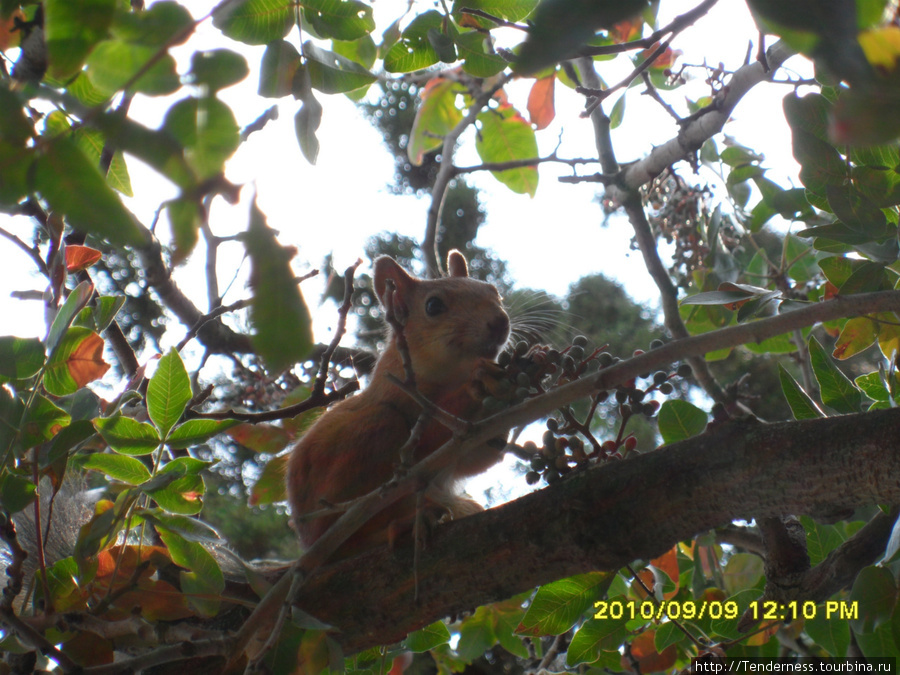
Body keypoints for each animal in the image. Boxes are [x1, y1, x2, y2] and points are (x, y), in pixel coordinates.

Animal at [288, 251, 512, 556]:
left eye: (495, 292)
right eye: (433, 305)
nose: (500, 322)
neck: (452, 373)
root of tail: (306, 543)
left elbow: (474, 459)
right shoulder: (398, 392)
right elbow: (432, 437)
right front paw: (477, 381)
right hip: (370, 437)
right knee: (347, 537)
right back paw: (398, 526)